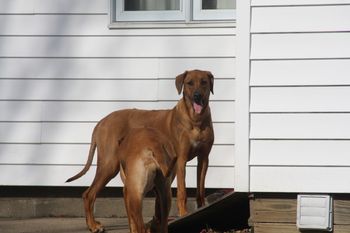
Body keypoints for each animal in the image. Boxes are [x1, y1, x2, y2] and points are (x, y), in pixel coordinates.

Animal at [65, 69, 213, 233]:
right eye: (189, 83)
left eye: (204, 82)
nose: (197, 96)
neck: (196, 120)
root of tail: (101, 122)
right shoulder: (181, 160)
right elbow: (182, 192)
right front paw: (184, 214)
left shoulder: (204, 158)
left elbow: (200, 189)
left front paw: (201, 209)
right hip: (110, 165)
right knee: (89, 194)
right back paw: (92, 225)